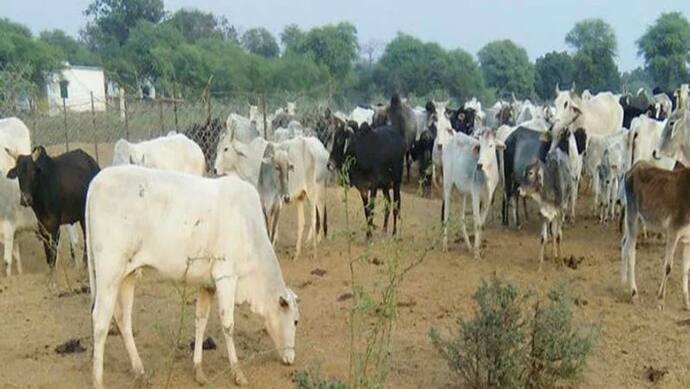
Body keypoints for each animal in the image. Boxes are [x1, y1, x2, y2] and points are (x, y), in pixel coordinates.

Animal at [86, 167, 298, 388]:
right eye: (295, 321)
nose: (291, 358)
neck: (248, 227)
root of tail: (97, 180)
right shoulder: (226, 277)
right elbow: (228, 325)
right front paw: (237, 371)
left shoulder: (208, 284)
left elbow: (200, 321)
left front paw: (198, 369)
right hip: (108, 273)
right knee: (100, 322)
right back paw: (98, 380)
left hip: (127, 275)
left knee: (123, 319)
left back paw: (140, 371)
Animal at [326, 95, 406, 238]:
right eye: (332, 138)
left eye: (340, 139)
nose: (329, 164)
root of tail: (398, 135)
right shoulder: (362, 188)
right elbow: (366, 210)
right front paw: (369, 233)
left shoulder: (373, 185)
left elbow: (372, 208)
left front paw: (369, 234)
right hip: (385, 186)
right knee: (388, 204)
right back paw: (384, 229)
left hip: (396, 181)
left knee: (396, 205)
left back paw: (394, 232)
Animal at [444, 130, 502, 258]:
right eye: (480, 147)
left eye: (491, 145)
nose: (479, 165)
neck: (487, 177)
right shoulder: (475, 195)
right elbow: (477, 223)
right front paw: (476, 253)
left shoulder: (488, 199)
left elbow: (482, 224)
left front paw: (477, 247)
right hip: (448, 185)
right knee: (446, 215)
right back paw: (445, 245)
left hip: (463, 193)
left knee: (462, 218)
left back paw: (468, 246)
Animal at [620, 161, 688, 310]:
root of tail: (634, 167)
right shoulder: (673, 231)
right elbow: (668, 267)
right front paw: (660, 300)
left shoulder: (688, 240)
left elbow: (686, 270)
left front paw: (687, 303)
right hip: (633, 214)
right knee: (631, 250)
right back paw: (634, 293)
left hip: (637, 218)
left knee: (624, 243)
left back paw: (623, 281)